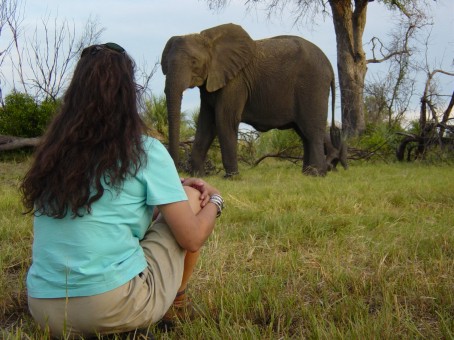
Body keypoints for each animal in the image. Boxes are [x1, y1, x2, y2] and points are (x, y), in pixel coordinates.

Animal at [161, 23, 336, 178]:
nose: (177, 171)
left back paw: (315, 174)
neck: (209, 39)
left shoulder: (236, 81)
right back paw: (307, 173)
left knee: (312, 130)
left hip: (313, 84)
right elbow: (206, 122)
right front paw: (198, 176)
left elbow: (224, 119)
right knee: (304, 133)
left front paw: (231, 177)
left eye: (194, 62)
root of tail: (330, 66)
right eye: (166, 66)